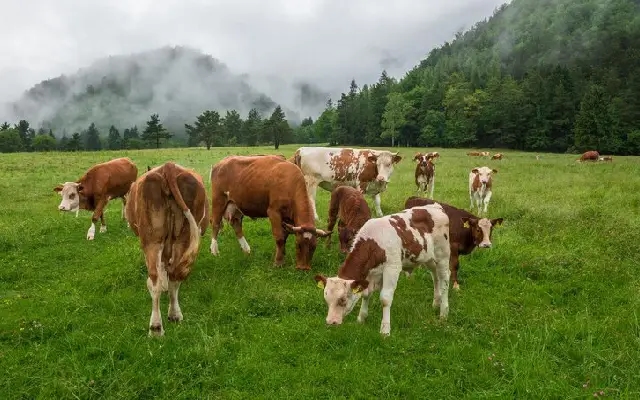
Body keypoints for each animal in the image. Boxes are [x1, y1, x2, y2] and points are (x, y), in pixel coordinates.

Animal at [124, 162, 210, 337]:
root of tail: (168, 167)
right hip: (182, 237)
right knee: (175, 275)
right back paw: (174, 315)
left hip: (152, 240)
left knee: (155, 279)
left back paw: (156, 327)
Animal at [314, 203, 451, 336]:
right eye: (326, 299)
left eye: (342, 299)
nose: (331, 322)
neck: (374, 243)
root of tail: (436, 206)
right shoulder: (370, 274)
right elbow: (366, 294)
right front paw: (361, 319)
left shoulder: (392, 268)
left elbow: (385, 299)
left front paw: (385, 330)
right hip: (429, 258)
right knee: (435, 276)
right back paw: (436, 303)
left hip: (443, 255)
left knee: (444, 280)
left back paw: (444, 313)